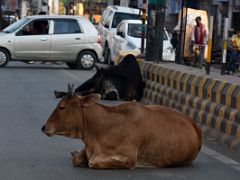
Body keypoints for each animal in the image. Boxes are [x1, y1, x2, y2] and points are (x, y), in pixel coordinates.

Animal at [41, 93, 202, 169]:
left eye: (62, 107)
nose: (44, 127)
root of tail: (195, 125)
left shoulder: (128, 159)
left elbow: (93, 162)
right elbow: (77, 159)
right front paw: (76, 155)